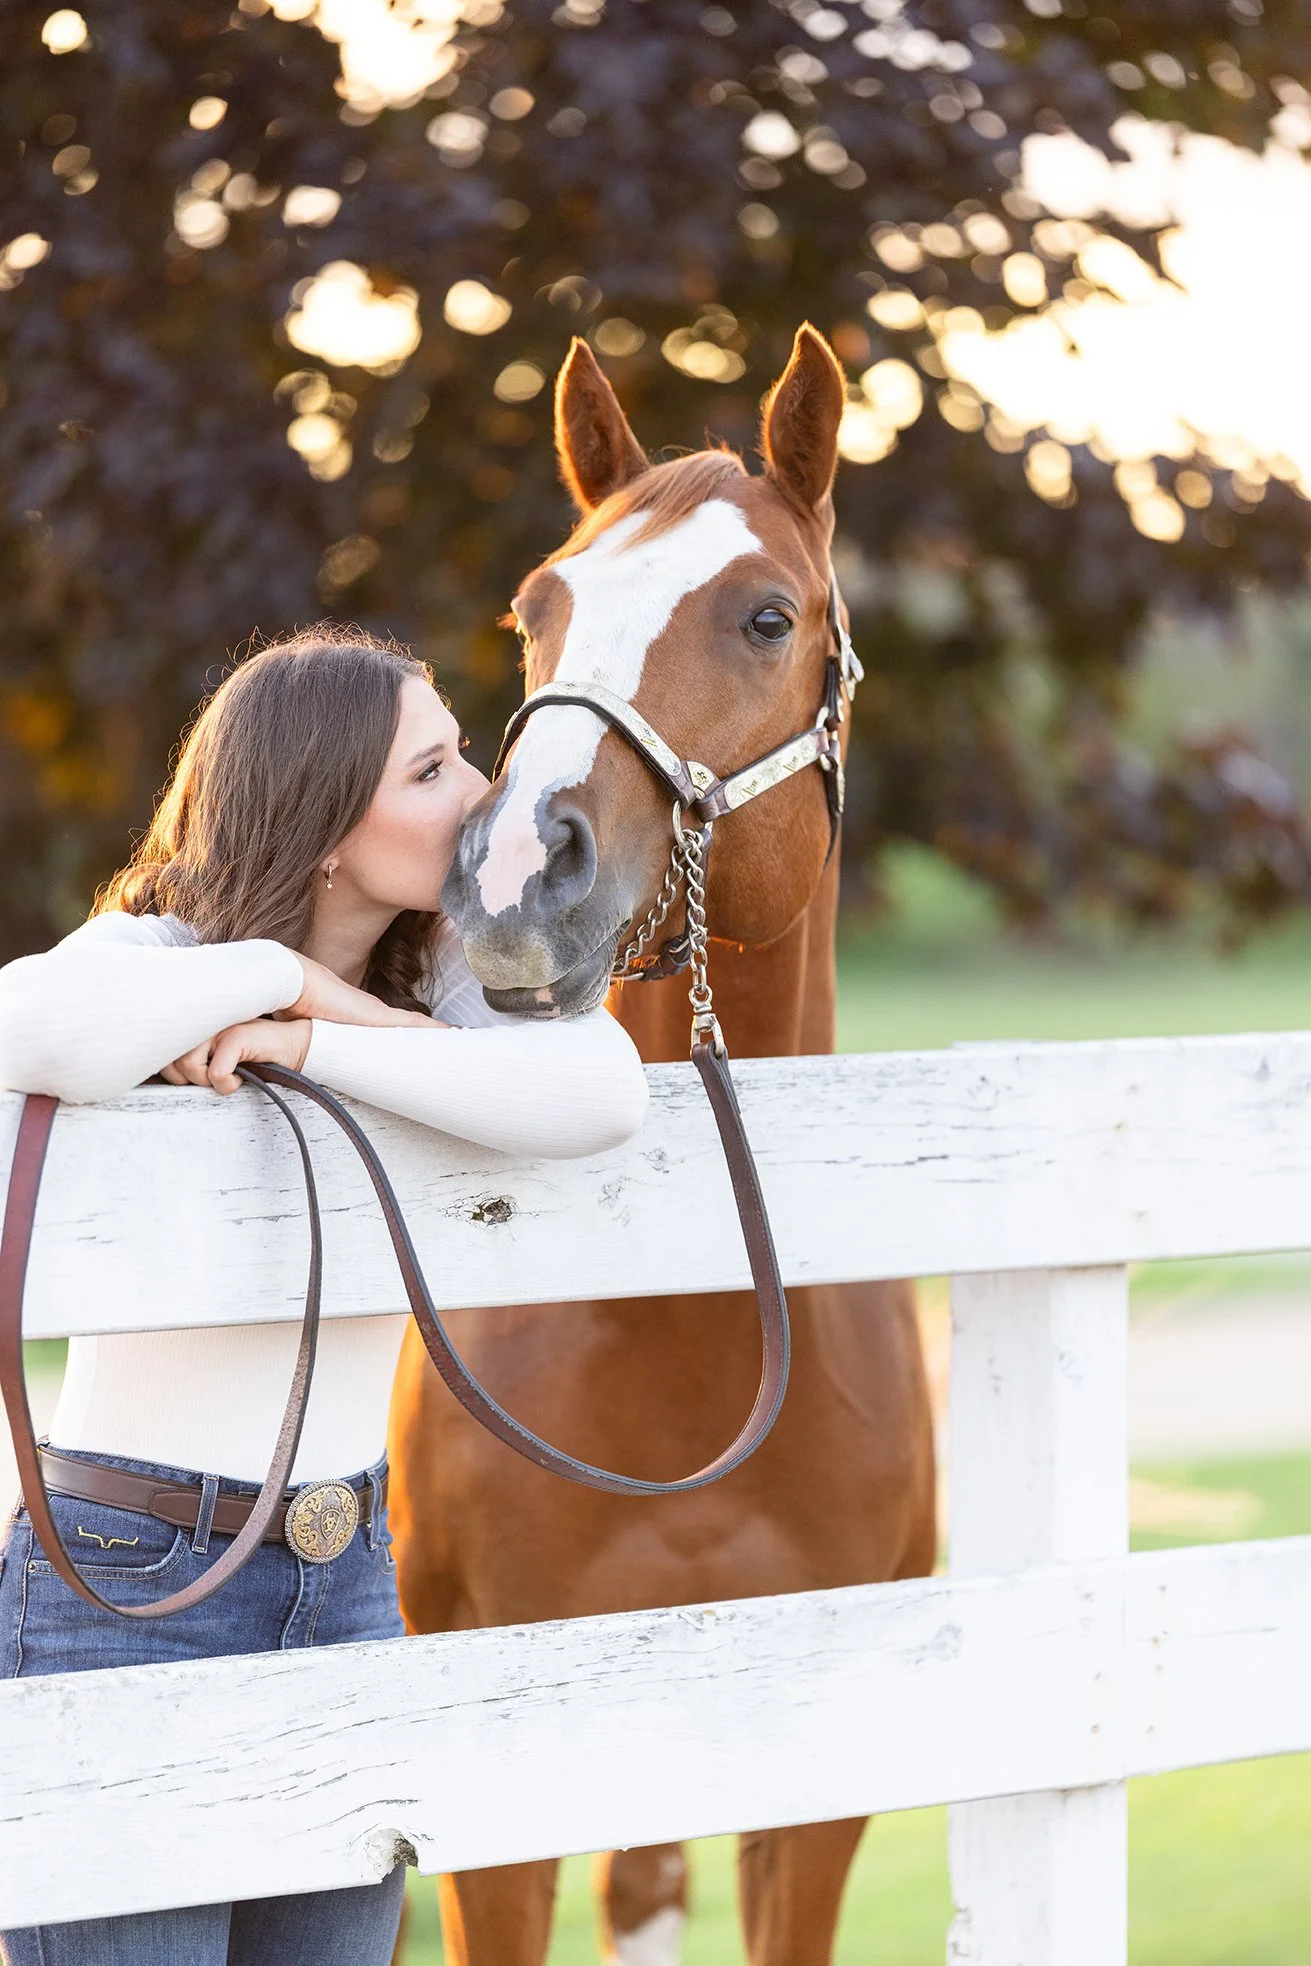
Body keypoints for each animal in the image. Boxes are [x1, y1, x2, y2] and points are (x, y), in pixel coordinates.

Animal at [387, 325, 936, 1966]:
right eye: (537, 611)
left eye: (766, 616)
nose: (511, 878)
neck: (686, 1323)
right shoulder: (490, 1799)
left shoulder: (817, 1790)